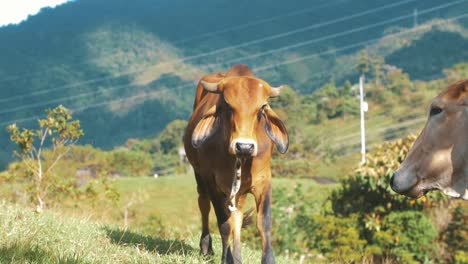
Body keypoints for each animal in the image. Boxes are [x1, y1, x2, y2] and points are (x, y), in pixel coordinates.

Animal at [184, 64, 288, 264]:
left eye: (262, 107)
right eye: (227, 105)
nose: (244, 146)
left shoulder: (264, 181)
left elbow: (263, 222)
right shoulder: (212, 182)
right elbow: (224, 224)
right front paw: (227, 258)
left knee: (237, 217)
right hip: (200, 176)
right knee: (204, 204)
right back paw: (206, 247)